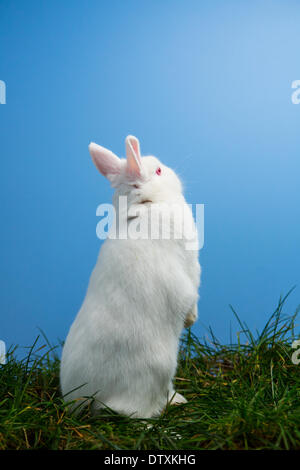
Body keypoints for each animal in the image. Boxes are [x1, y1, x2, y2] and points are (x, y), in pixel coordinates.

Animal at [59, 136, 200, 418]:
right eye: (158, 171)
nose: (173, 173)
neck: (145, 205)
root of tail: (90, 398)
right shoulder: (191, 264)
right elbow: (194, 290)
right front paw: (191, 320)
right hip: (156, 373)